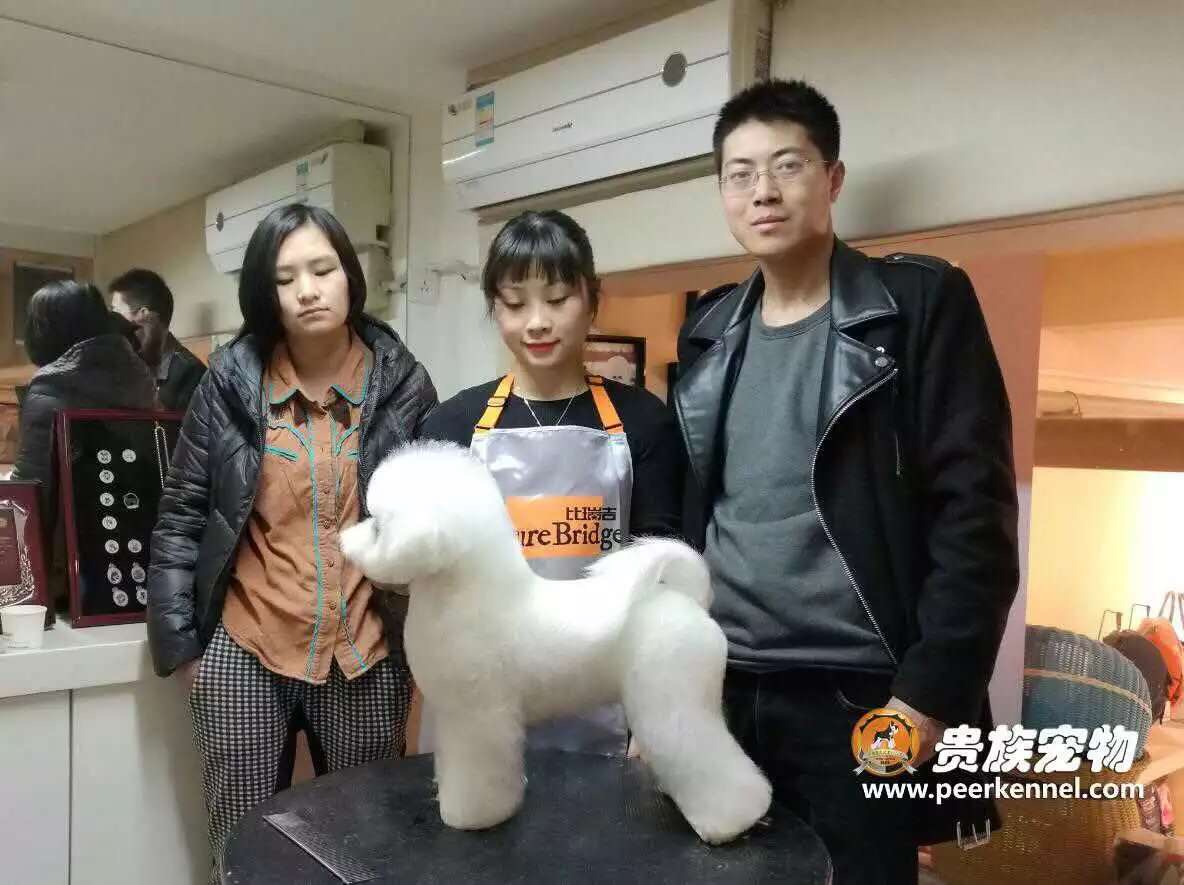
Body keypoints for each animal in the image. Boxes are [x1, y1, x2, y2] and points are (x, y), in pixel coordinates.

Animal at [340, 441, 772, 844]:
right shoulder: (454, 717)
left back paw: (731, 822)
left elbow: (479, 778)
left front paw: (474, 817)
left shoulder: (480, 718)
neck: (470, 595)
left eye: (378, 526)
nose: (345, 539)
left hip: (675, 702)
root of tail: (689, 601)